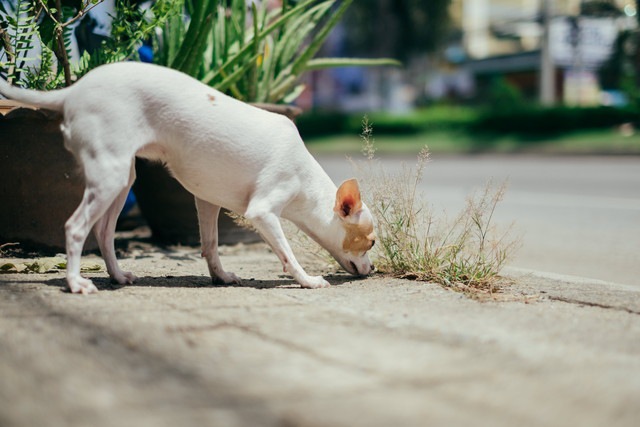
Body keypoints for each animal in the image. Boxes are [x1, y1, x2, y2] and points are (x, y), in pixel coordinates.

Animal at [0, 62, 378, 294]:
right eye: (371, 243)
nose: (373, 270)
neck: (305, 180)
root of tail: (74, 90)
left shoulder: (207, 201)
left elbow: (210, 245)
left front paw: (220, 276)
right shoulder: (263, 212)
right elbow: (287, 254)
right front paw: (308, 280)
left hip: (122, 180)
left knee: (104, 232)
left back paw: (118, 276)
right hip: (109, 177)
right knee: (76, 227)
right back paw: (76, 282)